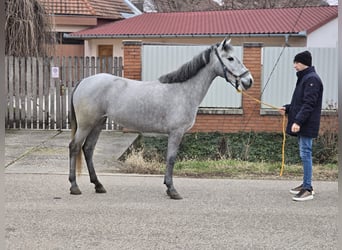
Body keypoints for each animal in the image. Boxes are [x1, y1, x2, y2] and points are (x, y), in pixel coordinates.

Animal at [68, 38, 252, 199]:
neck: (182, 90)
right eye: (230, 58)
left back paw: (98, 185)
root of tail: (83, 81)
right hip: (86, 125)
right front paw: (172, 190)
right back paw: (74, 186)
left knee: (88, 149)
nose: (248, 80)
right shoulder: (176, 133)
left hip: (97, 124)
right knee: (75, 147)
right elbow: (171, 159)